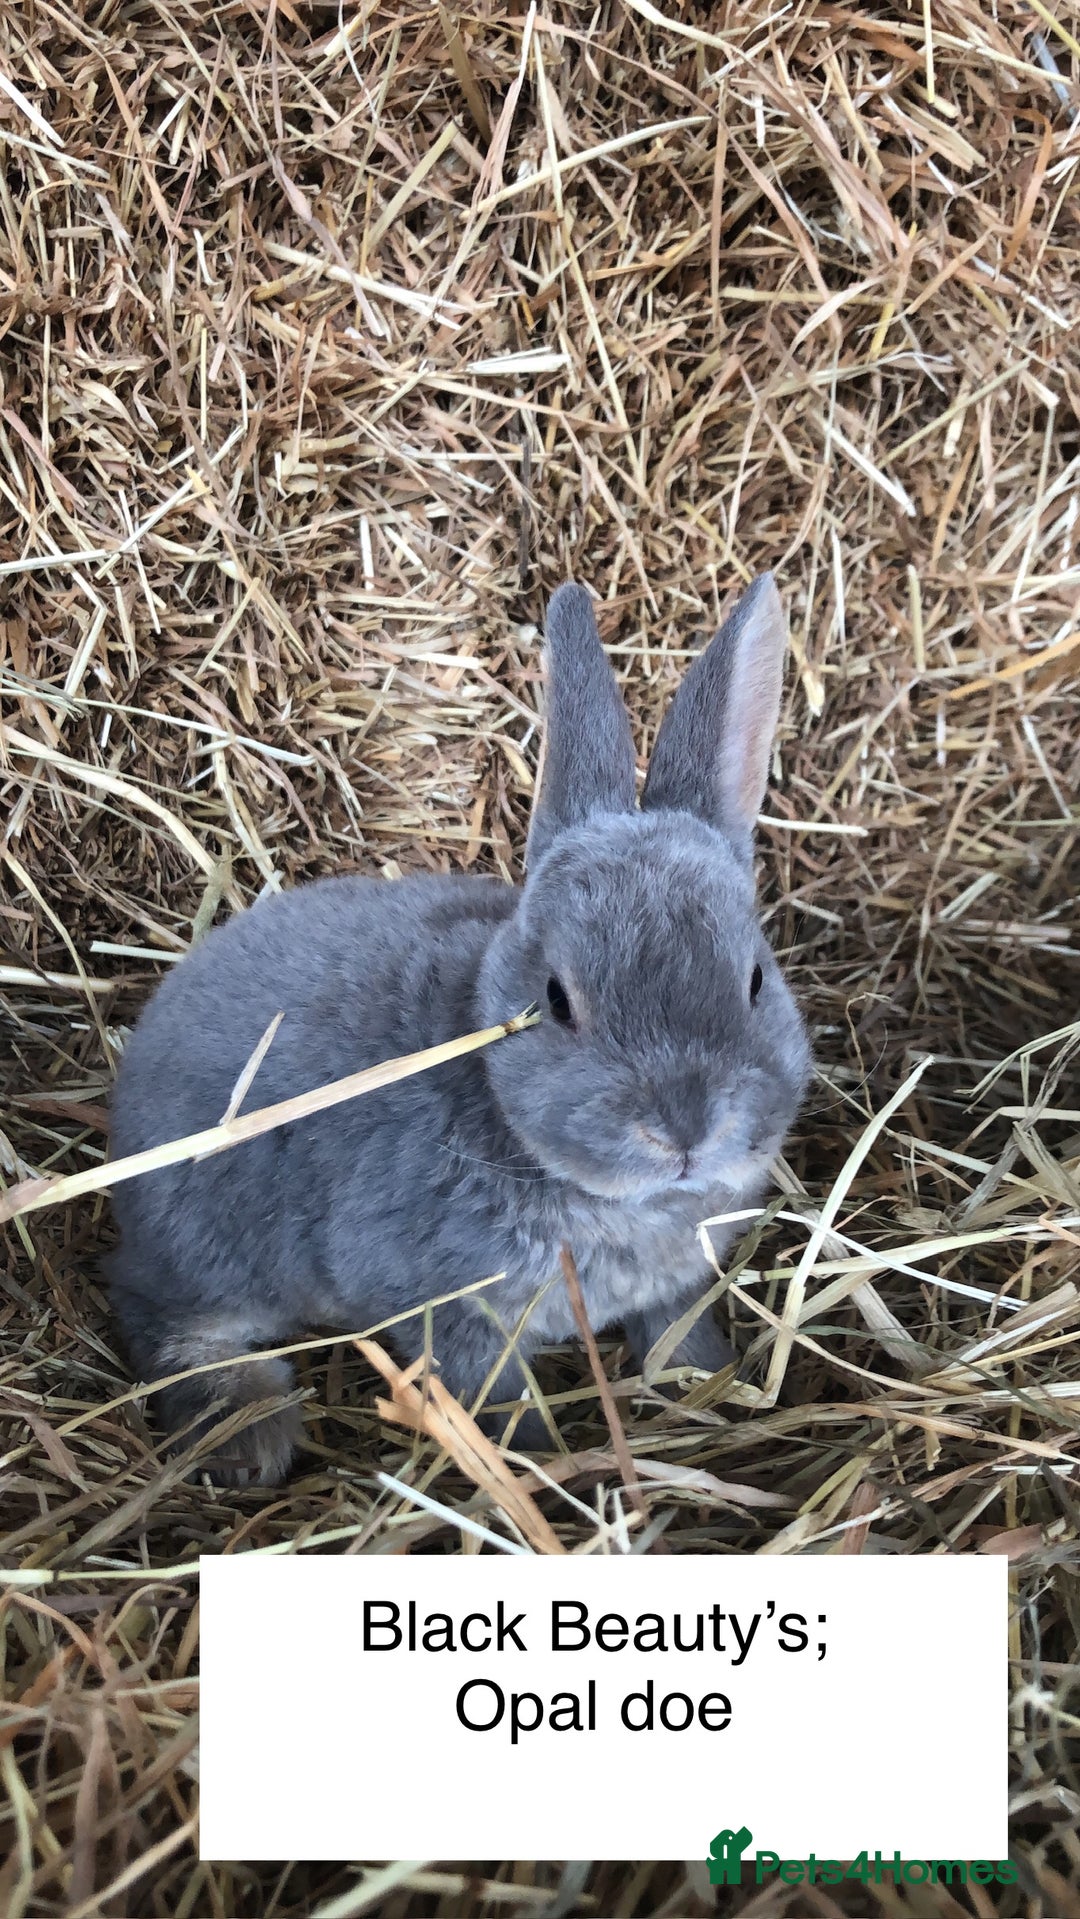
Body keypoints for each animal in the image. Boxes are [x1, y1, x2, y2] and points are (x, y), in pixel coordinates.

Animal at [107, 574, 811, 1484]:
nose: (684, 1128)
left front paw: (707, 1386)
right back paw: (250, 1432)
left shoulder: (673, 1287)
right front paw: (543, 1465)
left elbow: (678, 1338)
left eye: (755, 979)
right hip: (209, 1246)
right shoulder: (445, 1310)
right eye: (557, 999)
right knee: (162, 1316)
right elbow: (498, 1401)